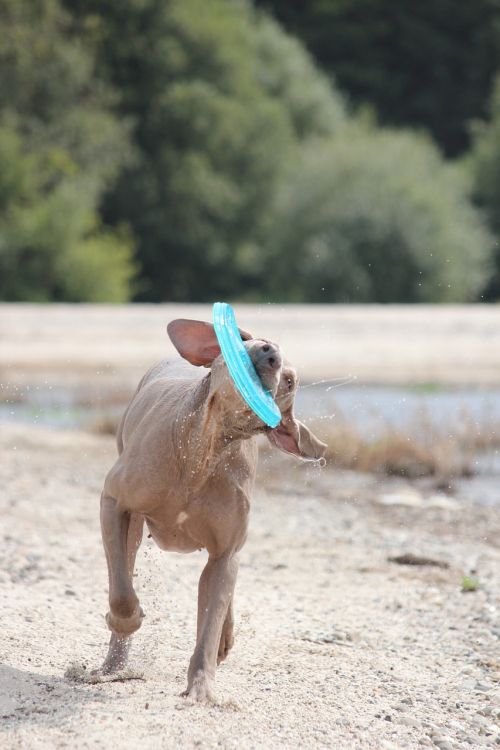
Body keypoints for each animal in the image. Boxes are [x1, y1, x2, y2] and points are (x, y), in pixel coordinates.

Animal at [95, 320, 326, 704]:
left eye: (291, 381)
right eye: (252, 339)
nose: (269, 352)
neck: (202, 448)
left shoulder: (224, 552)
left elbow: (210, 619)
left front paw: (202, 688)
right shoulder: (114, 501)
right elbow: (123, 595)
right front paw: (127, 620)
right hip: (134, 522)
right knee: (125, 567)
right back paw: (113, 665)